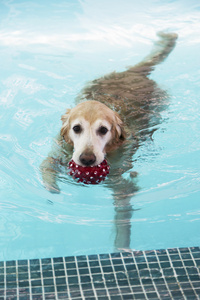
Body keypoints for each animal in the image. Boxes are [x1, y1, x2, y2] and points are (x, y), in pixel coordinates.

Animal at [40, 31, 177, 250]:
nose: (87, 159)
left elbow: (123, 216)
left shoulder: (120, 184)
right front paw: (52, 188)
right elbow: (45, 165)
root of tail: (134, 73)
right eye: (76, 128)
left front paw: (122, 246)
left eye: (103, 130)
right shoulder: (59, 150)